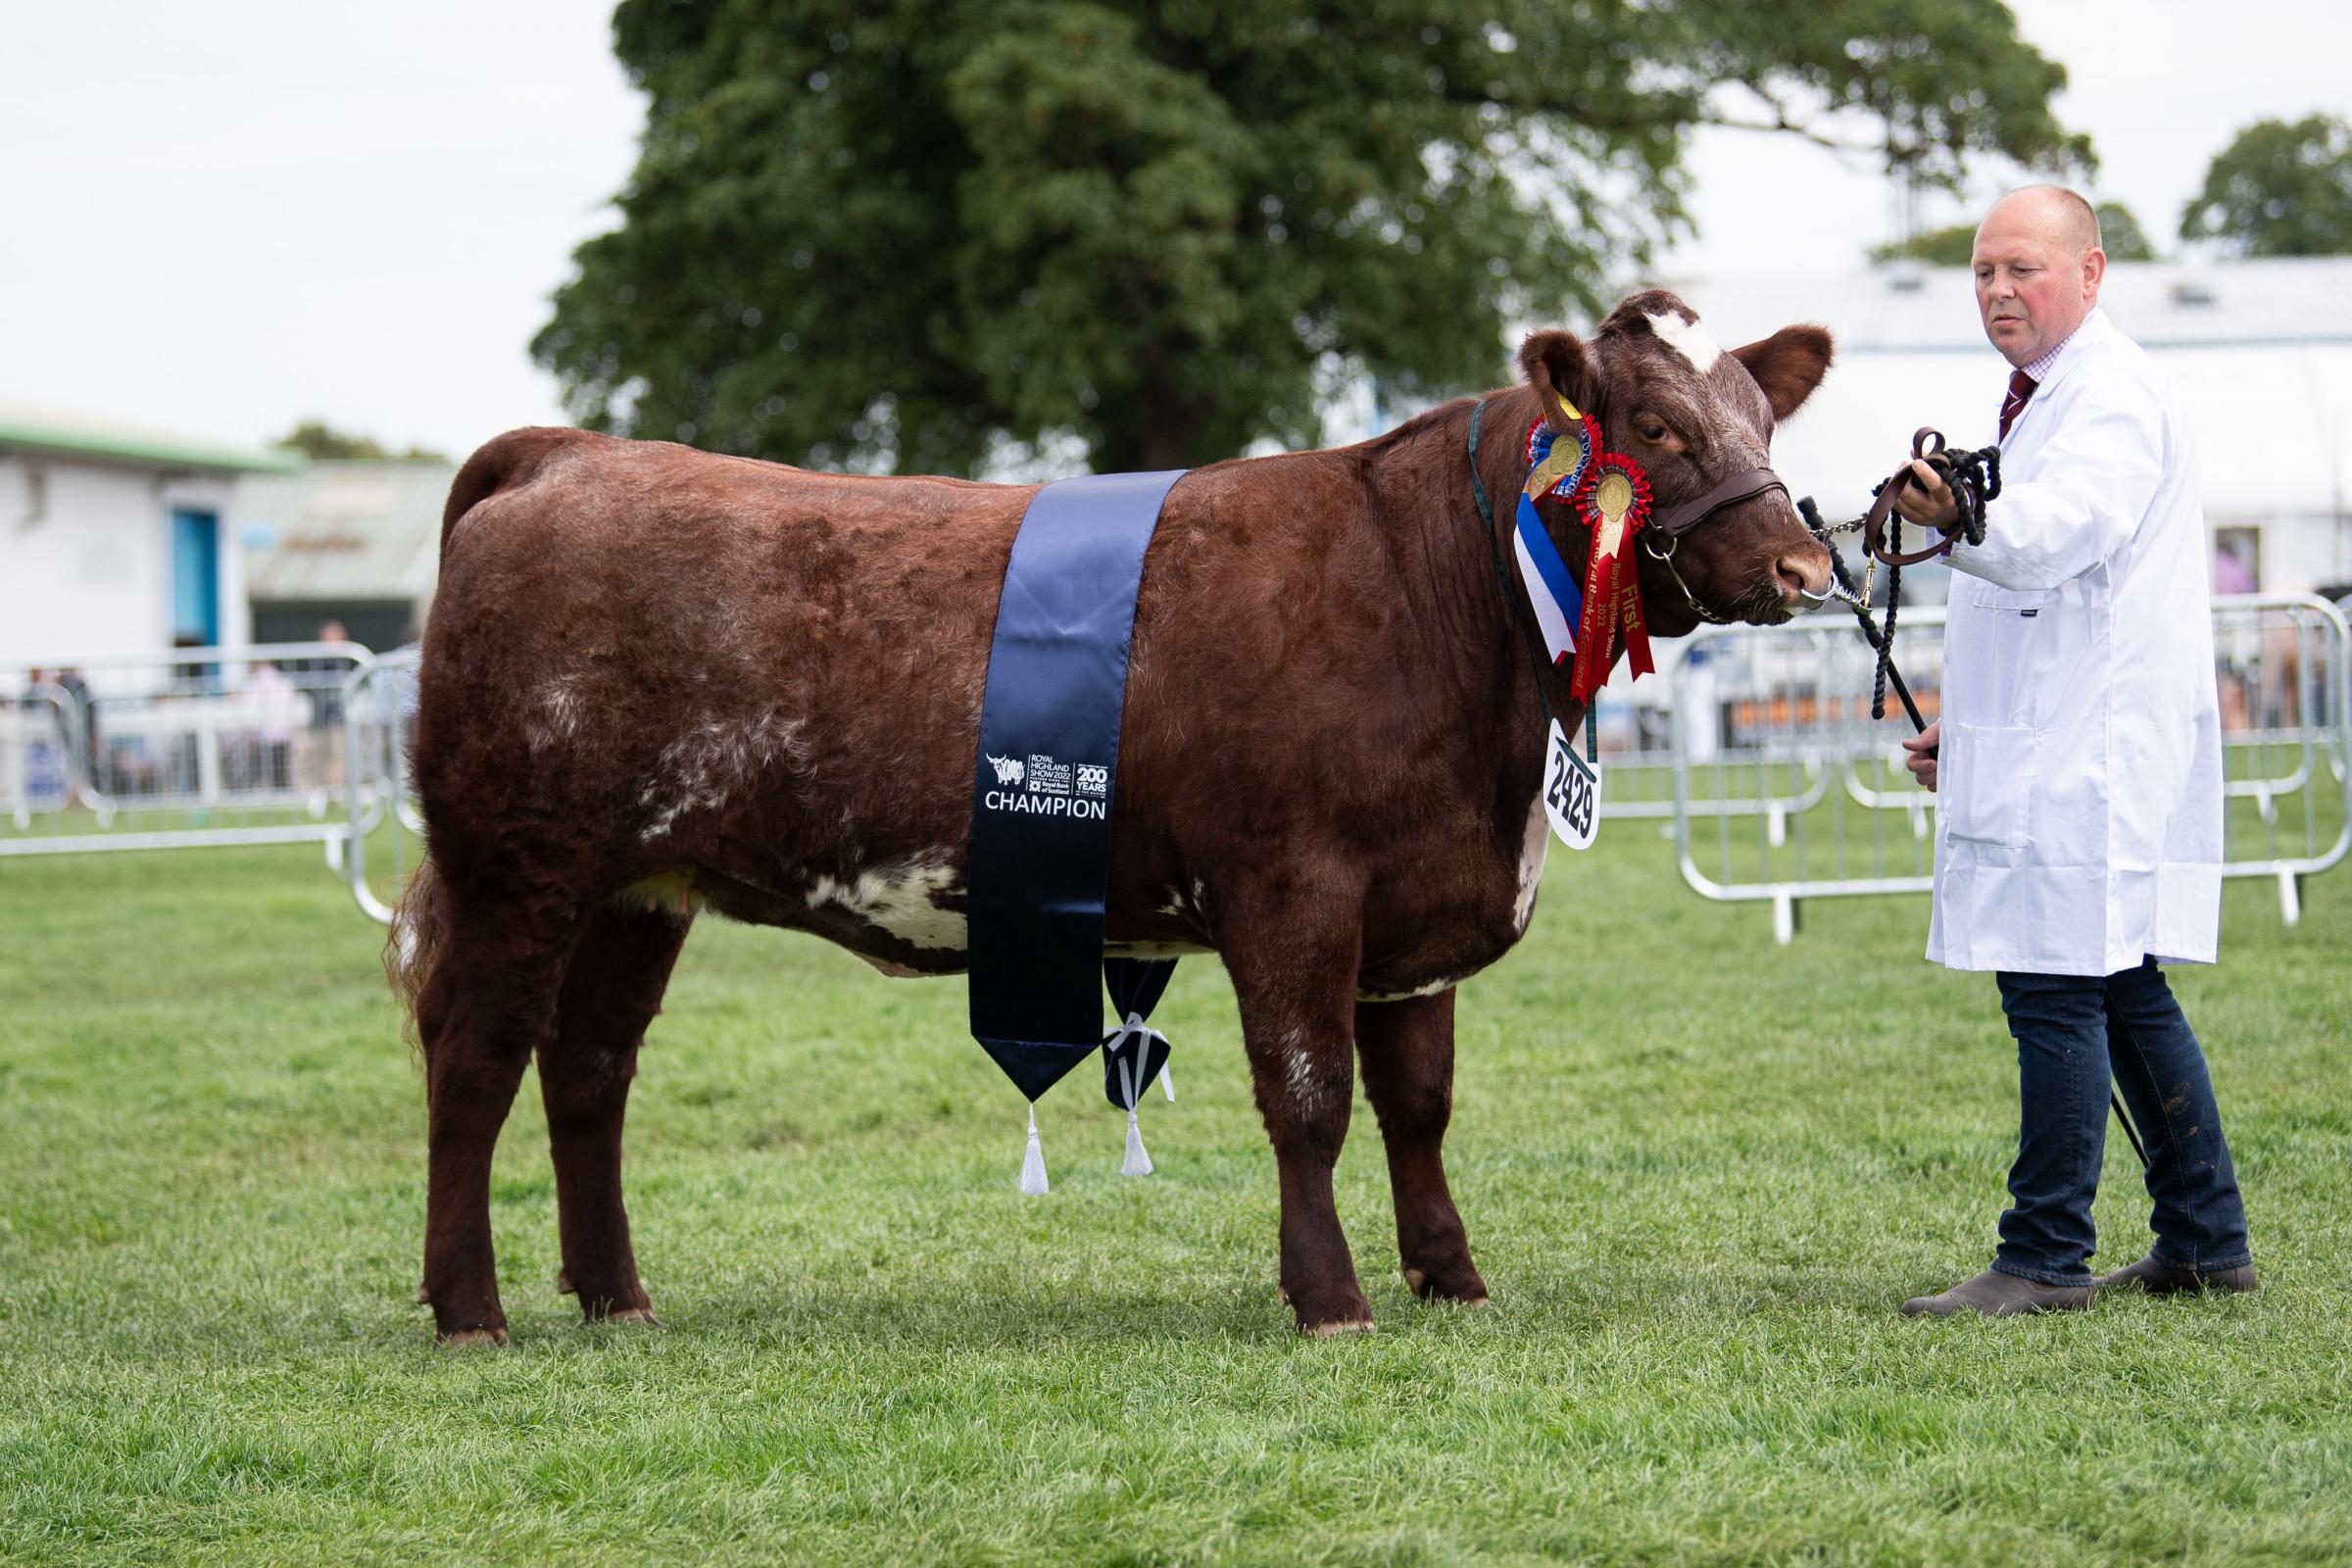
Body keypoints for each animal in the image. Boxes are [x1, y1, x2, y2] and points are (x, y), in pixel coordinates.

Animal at [400, 287, 1835, 1345]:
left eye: (1763, 418)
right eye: (1657, 426)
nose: (1804, 563)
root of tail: (568, 455)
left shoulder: (1417, 904)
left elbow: (1418, 1103)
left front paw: (1452, 1278)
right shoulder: (1293, 890)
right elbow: (1308, 1100)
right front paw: (1331, 1299)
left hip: (638, 888)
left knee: (589, 1069)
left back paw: (615, 1297)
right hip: (519, 866)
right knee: (476, 1060)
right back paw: (472, 1310)